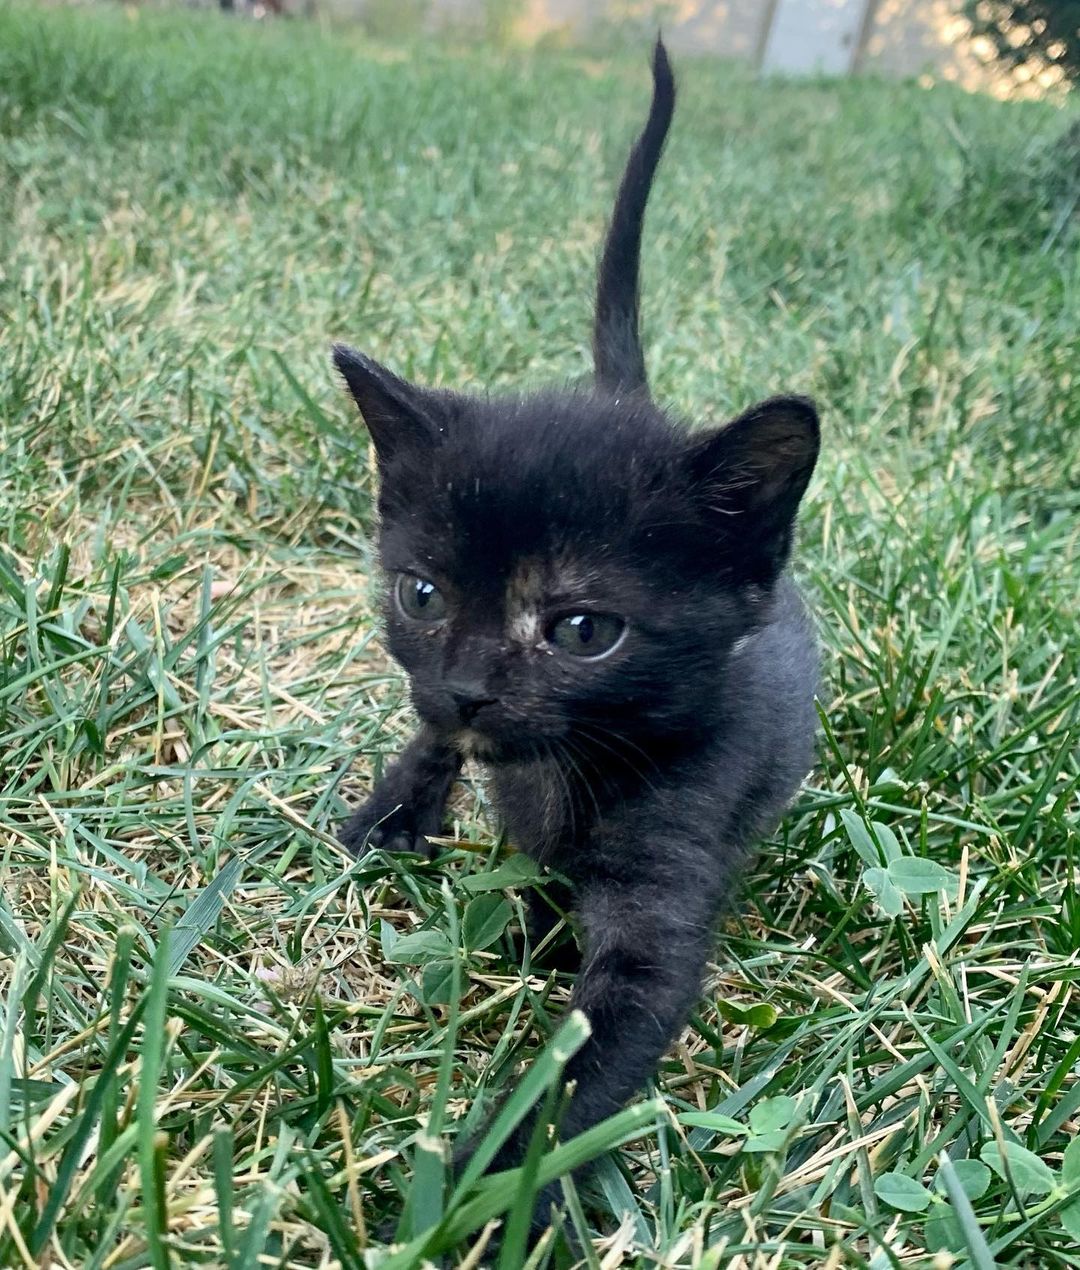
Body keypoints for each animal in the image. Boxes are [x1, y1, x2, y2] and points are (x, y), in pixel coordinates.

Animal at [332, 39, 813, 1224]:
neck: (564, 765)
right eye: (422, 596)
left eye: (585, 629)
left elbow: (585, 1064)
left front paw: (479, 1192)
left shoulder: (668, 887)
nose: (465, 685)